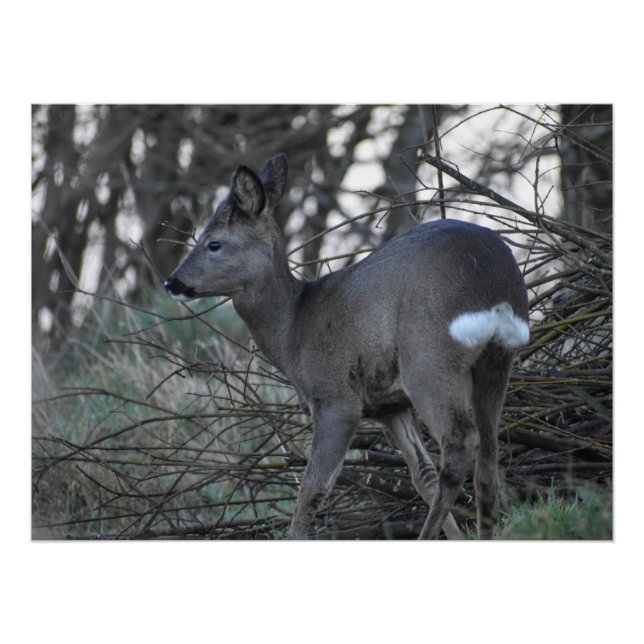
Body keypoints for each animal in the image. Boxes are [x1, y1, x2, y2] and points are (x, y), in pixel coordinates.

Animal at [164, 153, 529, 539]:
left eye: (213, 243)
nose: (172, 282)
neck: (293, 328)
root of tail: (493, 284)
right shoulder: (388, 406)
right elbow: (422, 476)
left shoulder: (335, 397)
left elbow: (313, 488)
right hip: (496, 359)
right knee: (487, 456)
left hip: (428, 355)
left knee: (460, 444)